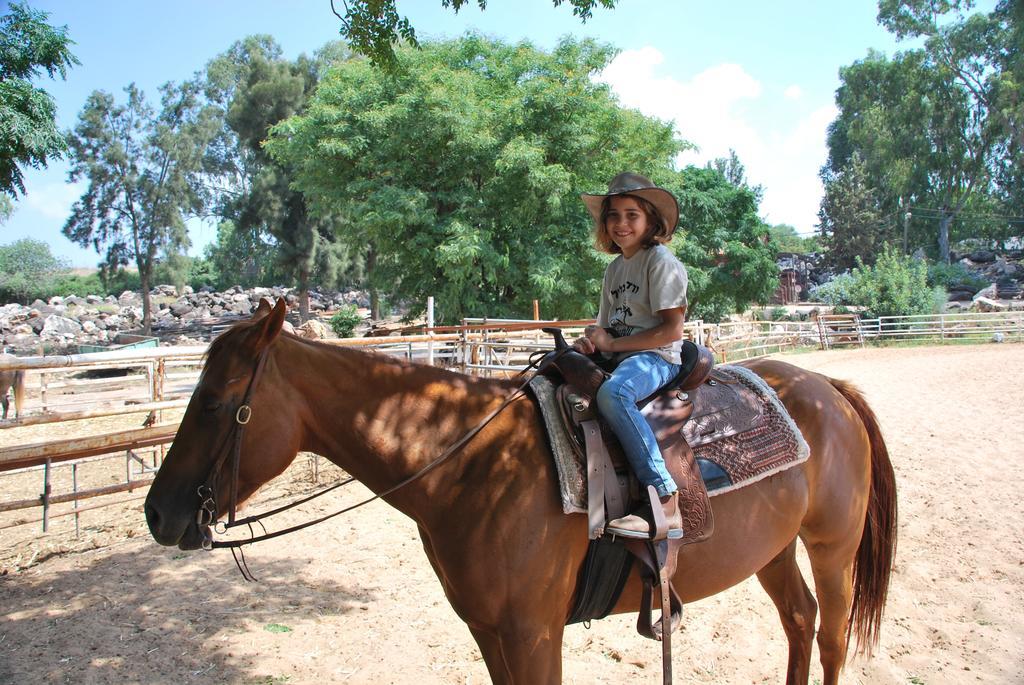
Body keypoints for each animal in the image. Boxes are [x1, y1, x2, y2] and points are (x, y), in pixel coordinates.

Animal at [144, 298, 897, 683]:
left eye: (215, 402)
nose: (157, 512)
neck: (470, 464)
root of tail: (831, 389)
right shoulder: (488, 630)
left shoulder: (534, 633)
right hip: (773, 549)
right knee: (799, 620)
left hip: (831, 546)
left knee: (830, 634)